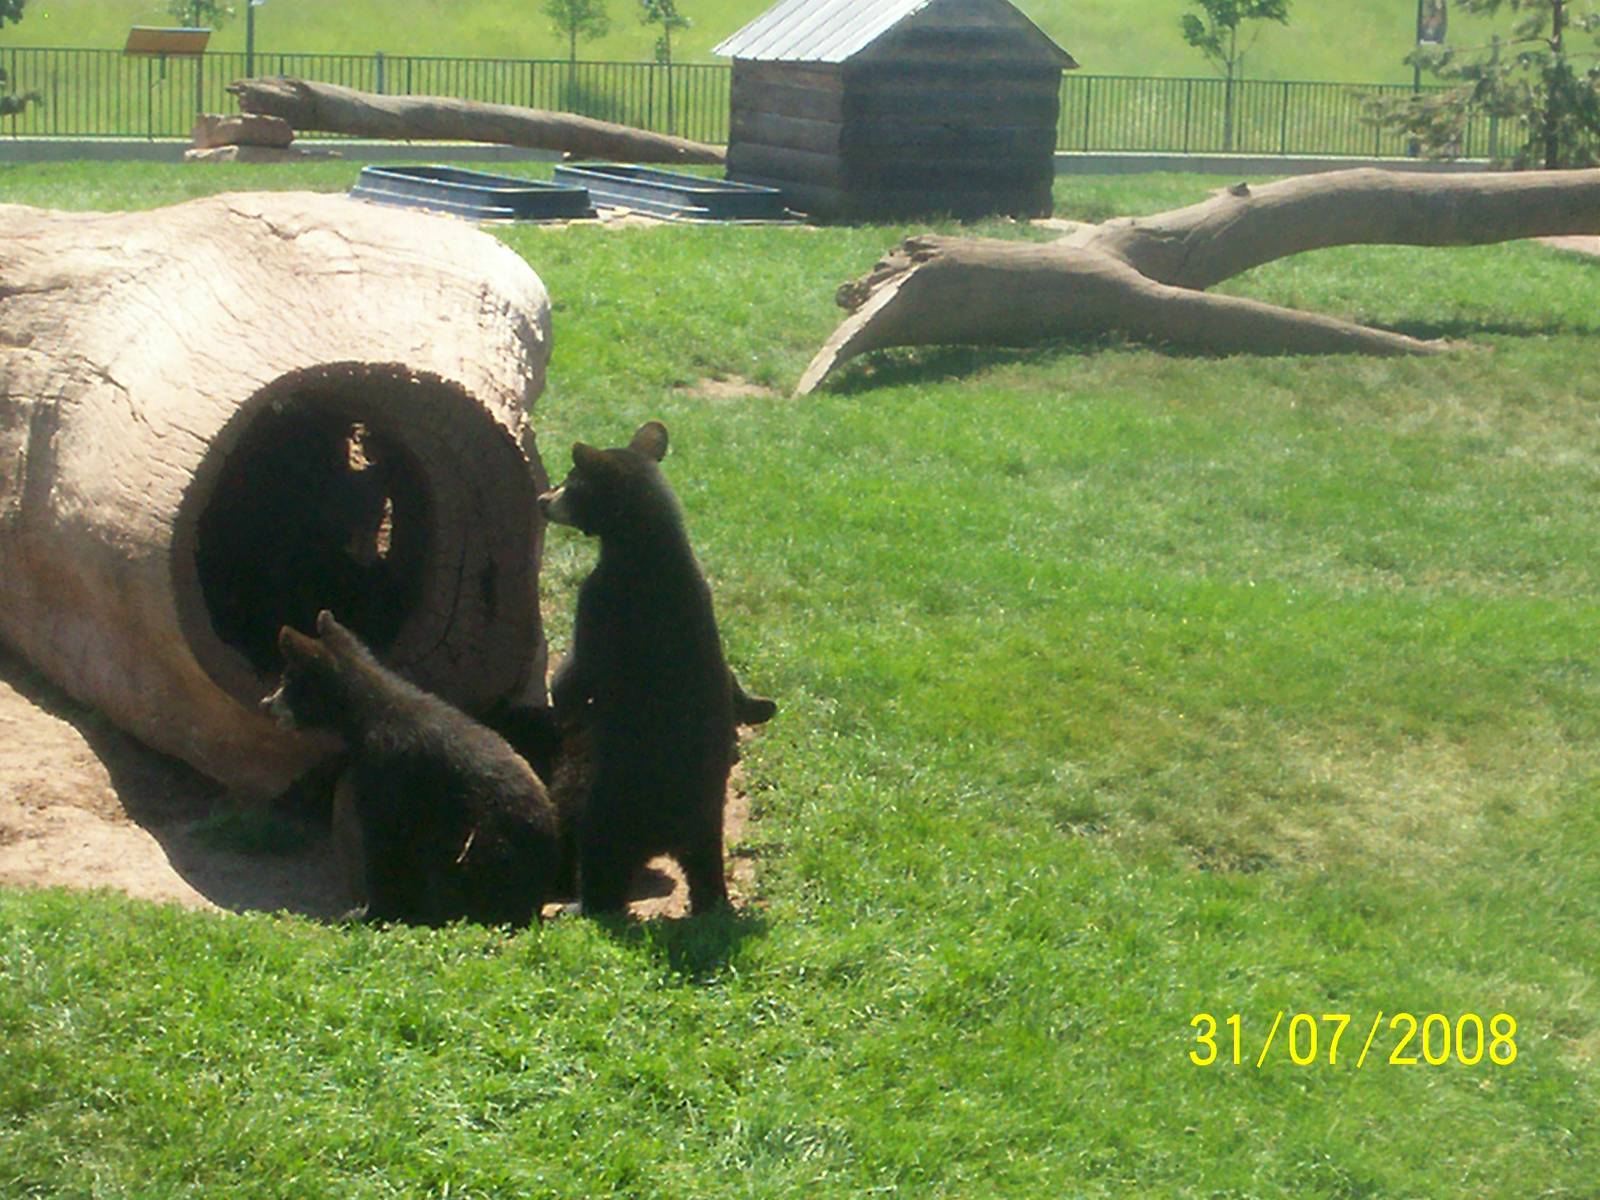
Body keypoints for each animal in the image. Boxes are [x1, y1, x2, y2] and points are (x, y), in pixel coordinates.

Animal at [261, 610, 560, 928]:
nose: (266, 703)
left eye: (288, 679)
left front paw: (370, 911)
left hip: (480, 841)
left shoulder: (388, 767)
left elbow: (386, 839)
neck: (363, 717)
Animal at [537, 419, 773, 915]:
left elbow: (579, 668)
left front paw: (562, 703)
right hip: (706, 828)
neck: (646, 545)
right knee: (705, 869)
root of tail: (670, 834)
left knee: (600, 858)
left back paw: (581, 905)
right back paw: (712, 903)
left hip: (608, 810)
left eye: (571, 482)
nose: (542, 500)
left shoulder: (605, 598)